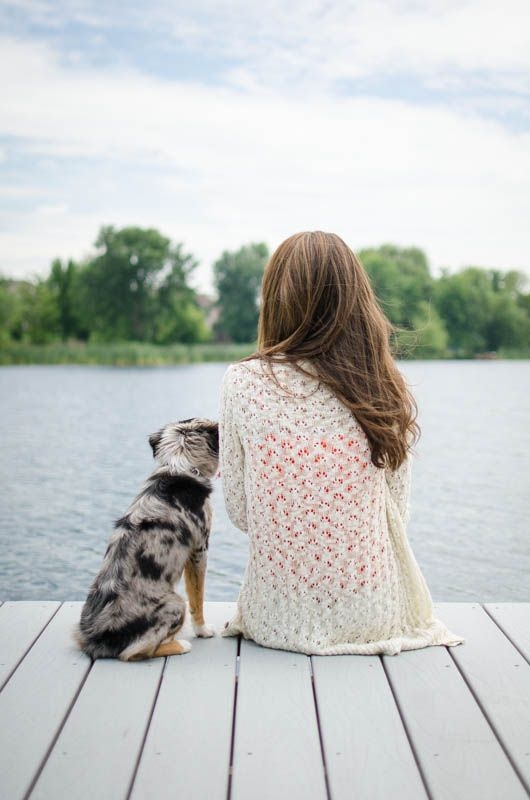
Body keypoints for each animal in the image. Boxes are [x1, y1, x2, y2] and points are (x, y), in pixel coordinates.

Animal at [73, 416, 217, 660]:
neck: (179, 464)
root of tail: (97, 641)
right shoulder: (199, 550)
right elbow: (197, 596)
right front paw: (203, 630)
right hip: (175, 603)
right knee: (134, 652)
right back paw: (180, 645)